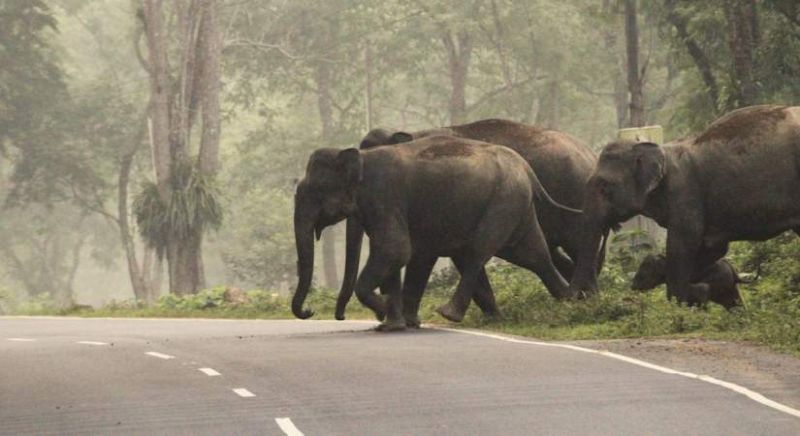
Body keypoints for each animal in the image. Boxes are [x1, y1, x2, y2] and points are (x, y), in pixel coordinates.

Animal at [290, 135, 580, 328]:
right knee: (533, 254)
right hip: (516, 204)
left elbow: (396, 250)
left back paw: (449, 313)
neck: (361, 159)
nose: (311, 311)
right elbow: (398, 255)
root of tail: (525, 166)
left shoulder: (384, 196)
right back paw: (570, 301)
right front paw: (392, 325)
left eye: (316, 191)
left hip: (503, 201)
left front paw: (386, 311)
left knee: (478, 251)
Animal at [568, 104, 800, 304]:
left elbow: (682, 244)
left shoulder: (685, 193)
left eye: (604, 186)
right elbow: (712, 247)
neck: (659, 149)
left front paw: (680, 303)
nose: (580, 298)